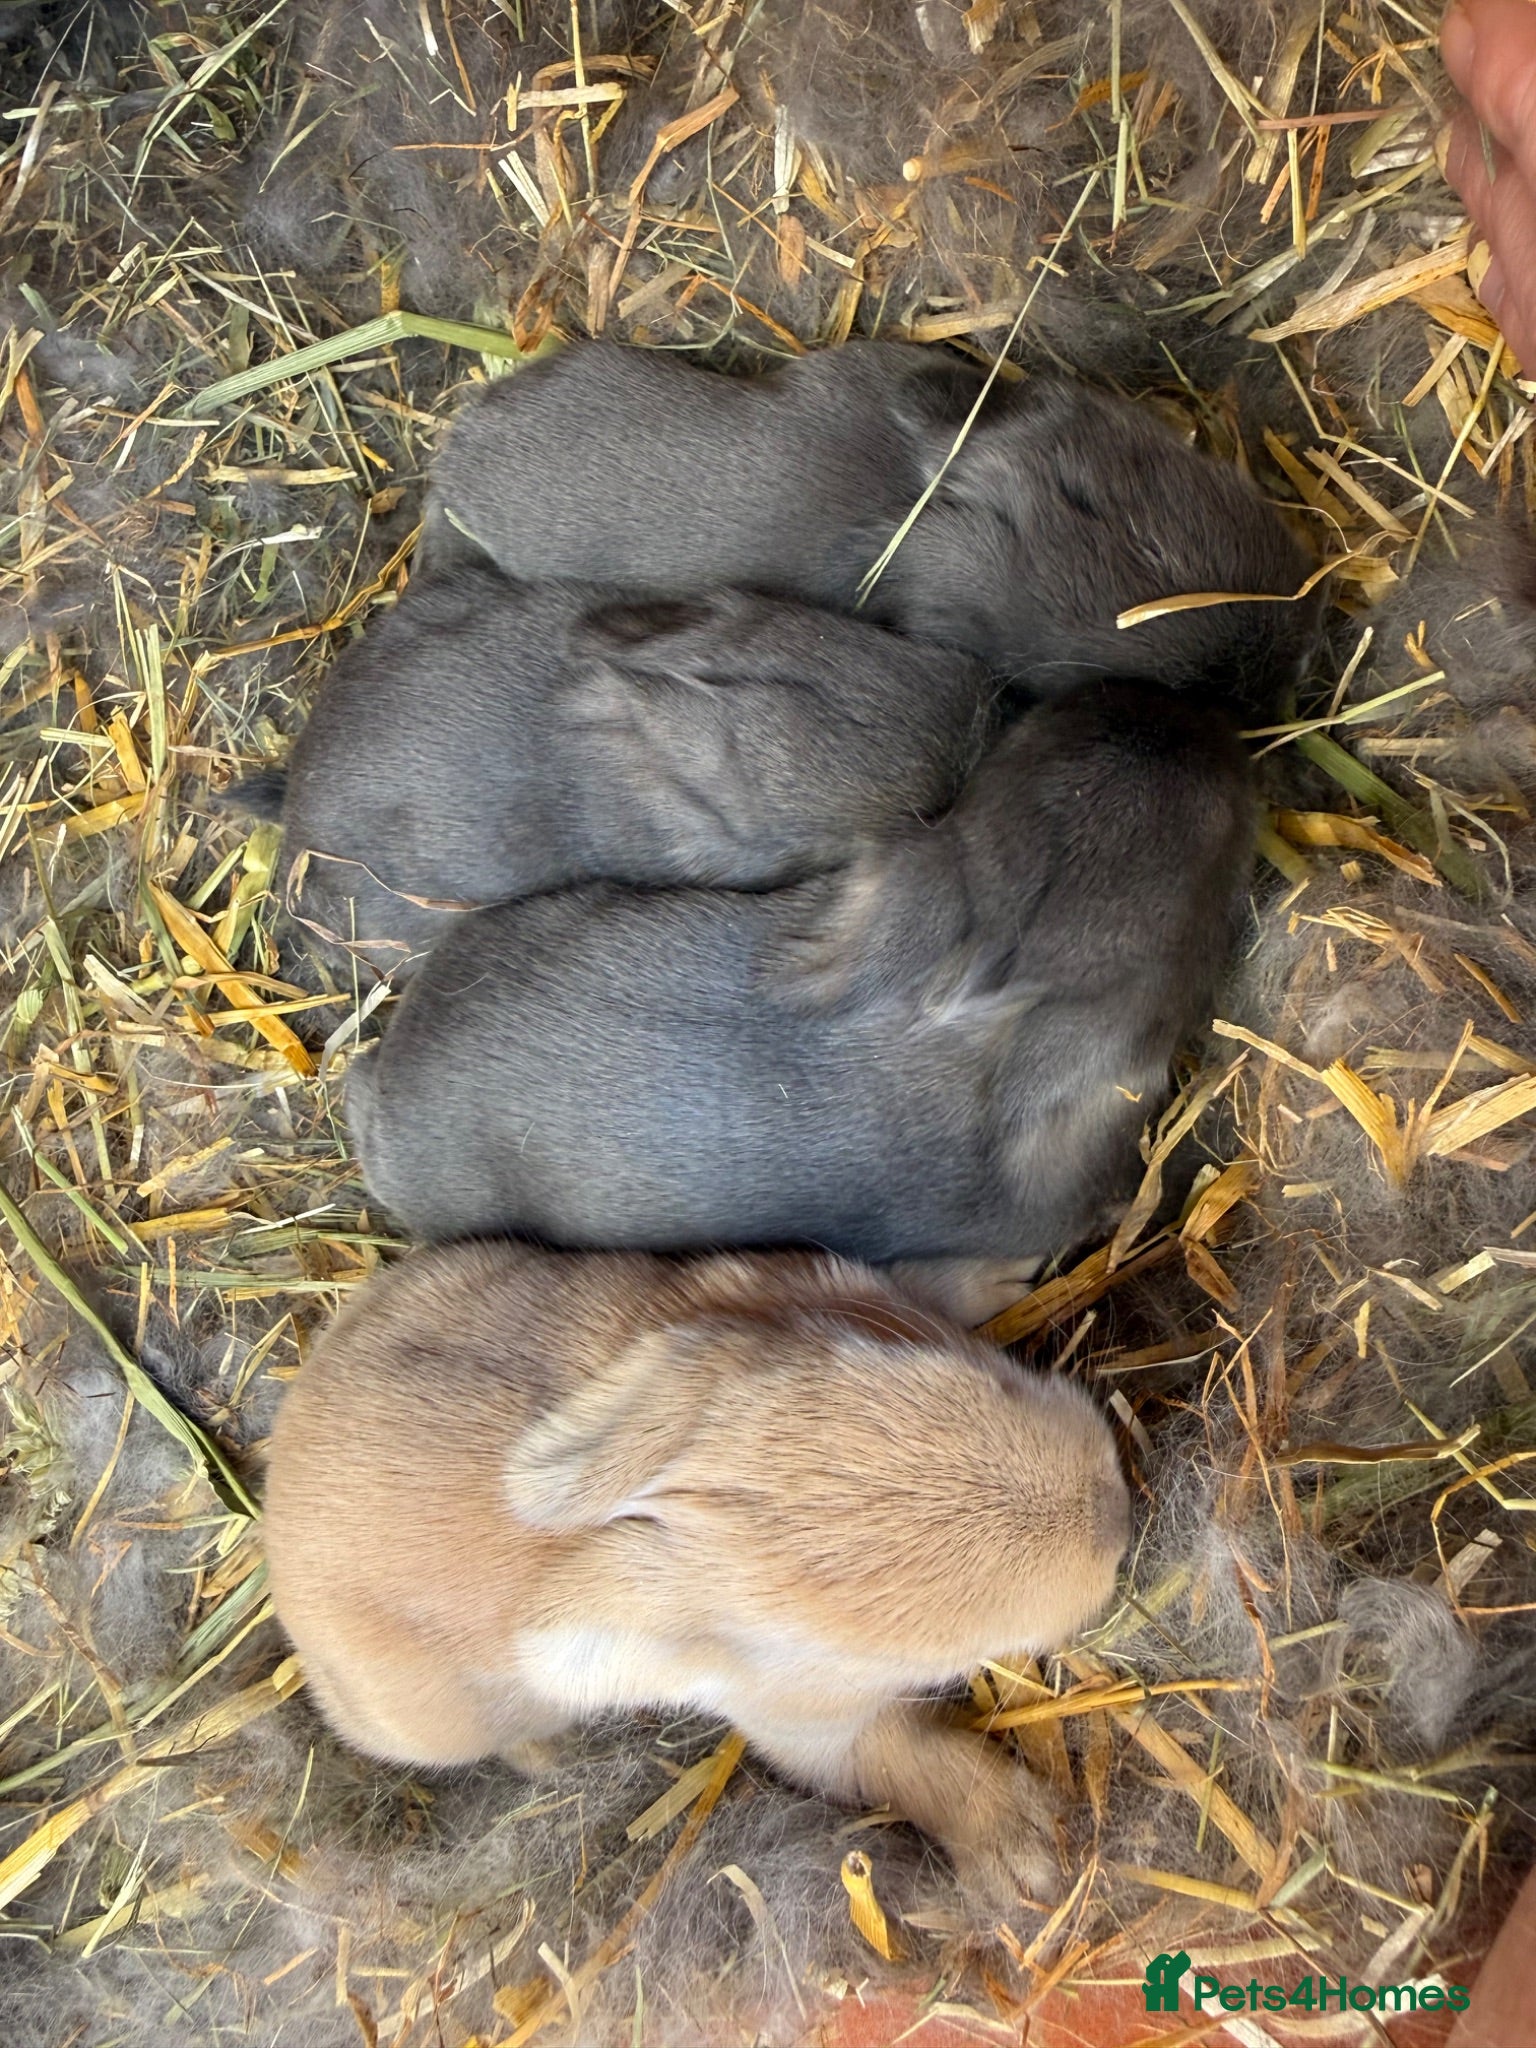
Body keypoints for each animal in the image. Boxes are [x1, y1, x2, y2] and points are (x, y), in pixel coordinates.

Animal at [261, 1237, 1132, 1906]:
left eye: (990, 1379)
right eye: (921, 1653)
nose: (1115, 1511)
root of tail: (274, 1505)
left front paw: (1006, 1271)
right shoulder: (806, 1724)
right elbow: (906, 1759)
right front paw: (1028, 1853)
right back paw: (547, 1754)